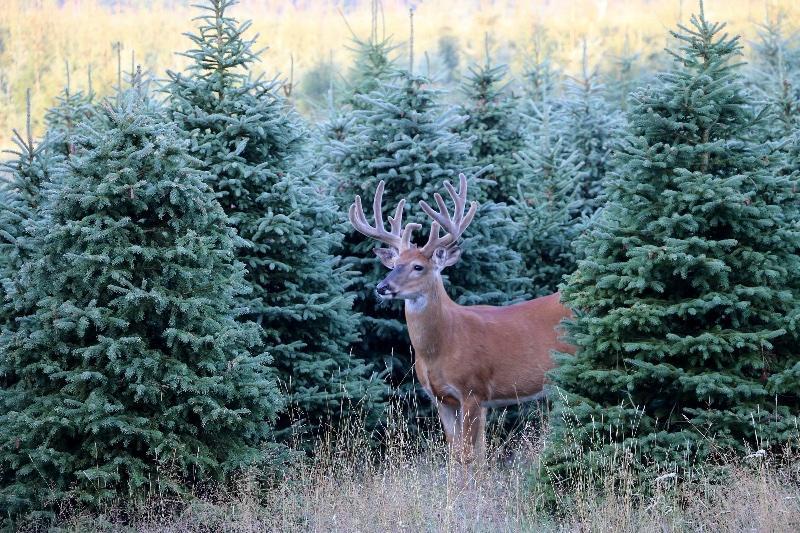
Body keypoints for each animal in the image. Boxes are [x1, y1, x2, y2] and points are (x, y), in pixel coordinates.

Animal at [350, 174, 576, 462]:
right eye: (394, 264)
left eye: (418, 266)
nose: (382, 287)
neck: (443, 344)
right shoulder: (441, 399)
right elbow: (457, 454)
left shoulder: (473, 390)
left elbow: (469, 455)